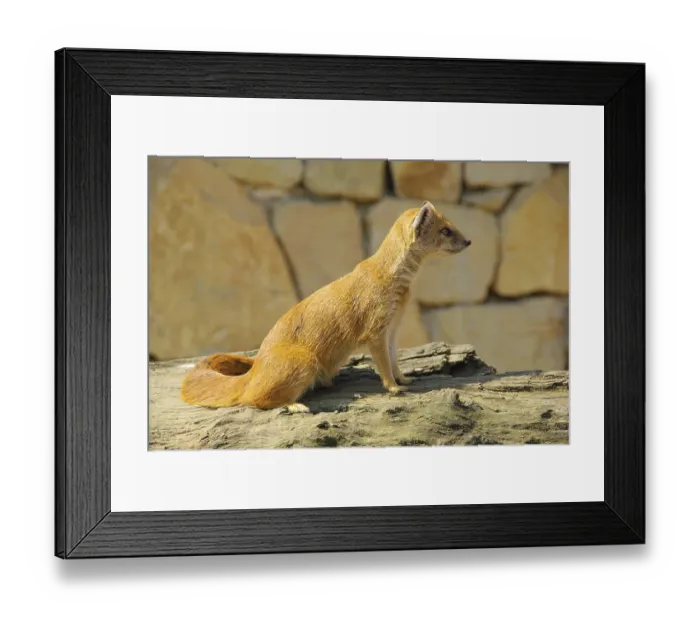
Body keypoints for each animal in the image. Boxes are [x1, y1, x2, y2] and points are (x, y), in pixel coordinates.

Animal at [181, 201, 471, 412]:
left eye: (451, 225)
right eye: (445, 230)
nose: (469, 241)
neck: (397, 284)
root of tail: (256, 367)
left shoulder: (392, 328)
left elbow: (394, 359)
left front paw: (405, 379)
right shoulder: (375, 329)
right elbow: (383, 363)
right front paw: (394, 388)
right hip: (302, 361)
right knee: (254, 398)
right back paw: (296, 406)